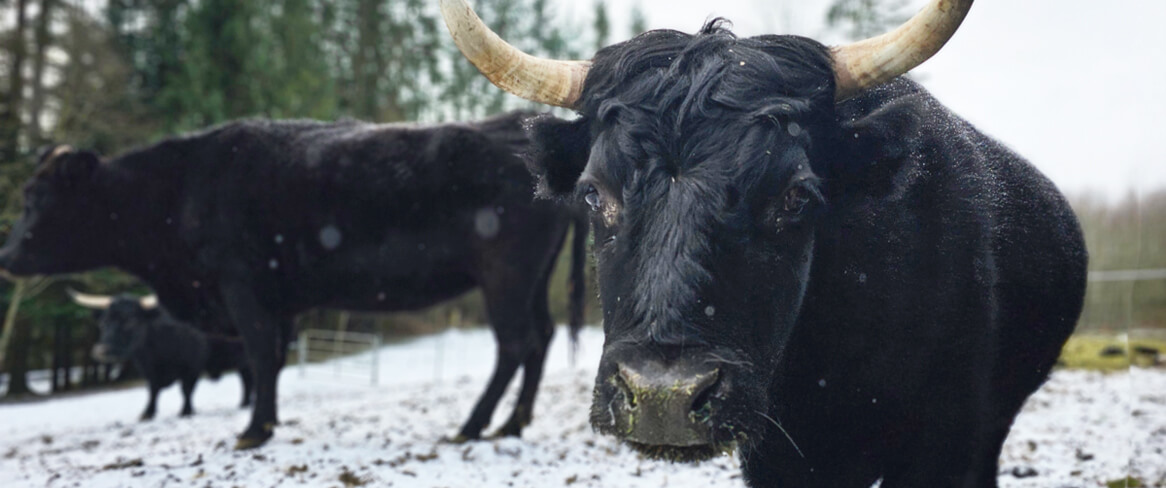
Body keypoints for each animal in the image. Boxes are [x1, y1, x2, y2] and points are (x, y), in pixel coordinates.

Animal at [69, 289, 253, 419]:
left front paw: (186, 411)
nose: (101, 350)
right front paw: (147, 413)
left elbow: (186, 389)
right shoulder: (148, 368)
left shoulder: (193, 363)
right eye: (104, 322)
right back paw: (244, 403)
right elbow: (153, 390)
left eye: (130, 320)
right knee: (246, 378)